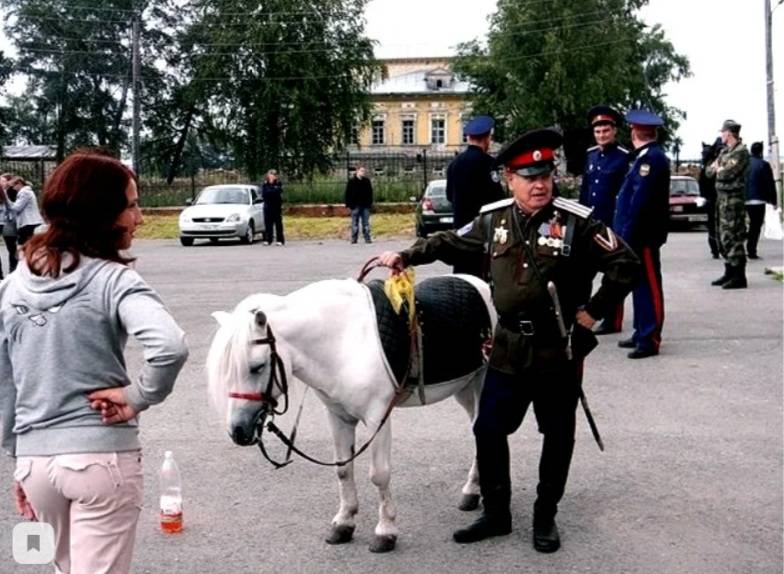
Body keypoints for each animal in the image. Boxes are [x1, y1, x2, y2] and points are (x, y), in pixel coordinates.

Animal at [207, 276, 496, 556]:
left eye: (257, 367)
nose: (238, 430)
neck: (344, 342)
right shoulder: (338, 417)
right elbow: (343, 469)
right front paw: (344, 524)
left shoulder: (378, 417)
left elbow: (379, 475)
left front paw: (385, 532)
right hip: (464, 391)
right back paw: (472, 491)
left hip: (481, 385)